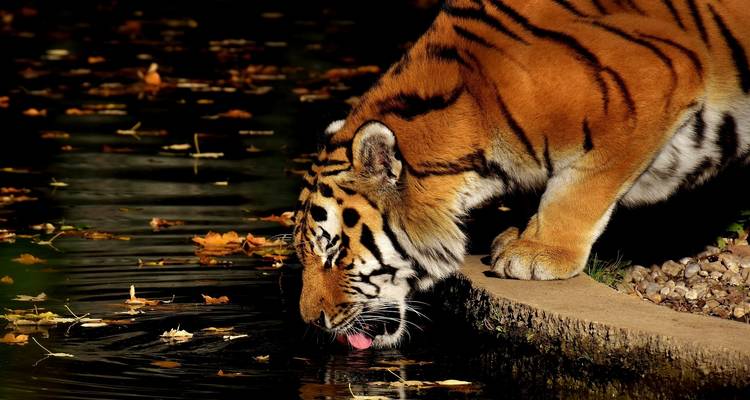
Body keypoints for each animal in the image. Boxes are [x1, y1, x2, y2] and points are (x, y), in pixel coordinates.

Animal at [293, 0, 750, 349]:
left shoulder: (653, 85)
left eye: (334, 253)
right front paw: (517, 234)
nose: (310, 321)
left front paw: (538, 252)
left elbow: (581, 186)